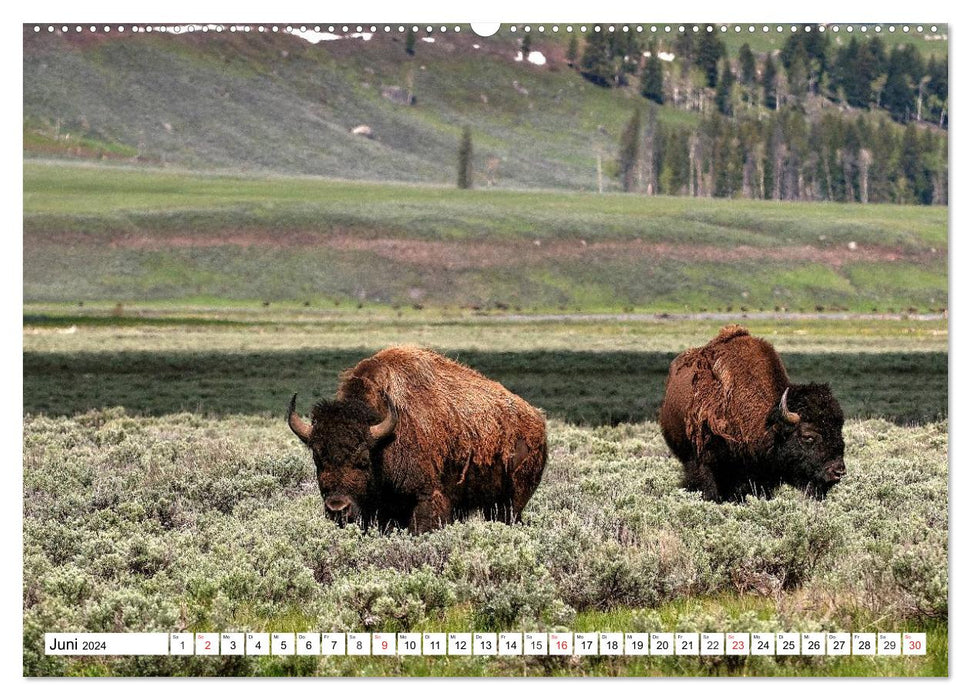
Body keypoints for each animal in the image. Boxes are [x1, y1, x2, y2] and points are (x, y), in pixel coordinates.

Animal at [286, 348, 548, 532]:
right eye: (318, 460)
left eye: (363, 460)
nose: (337, 508)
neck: (384, 442)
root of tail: (538, 420)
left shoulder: (426, 499)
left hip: (511, 502)